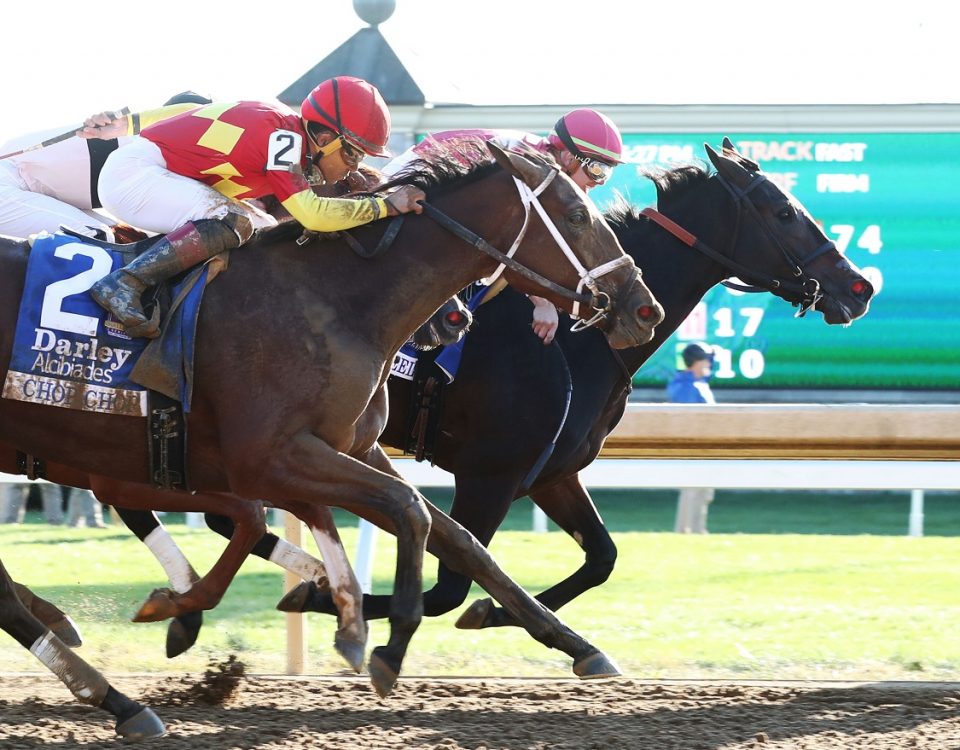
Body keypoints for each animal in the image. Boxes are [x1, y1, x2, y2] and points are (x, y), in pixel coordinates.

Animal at [0, 142, 660, 700]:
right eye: (576, 215)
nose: (641, 306)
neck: (335, 300)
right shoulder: (270, 456)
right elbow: (407, 512)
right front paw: (383, 643)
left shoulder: (351, 448)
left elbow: (458, 540)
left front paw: (576, 644)